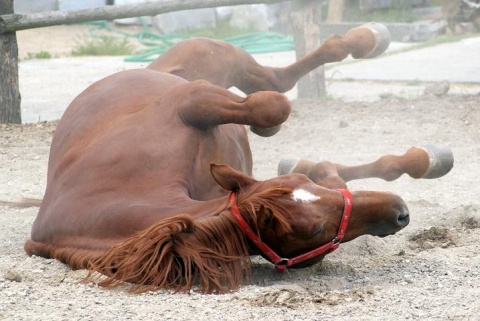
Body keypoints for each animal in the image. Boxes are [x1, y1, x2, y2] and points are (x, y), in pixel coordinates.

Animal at [18, 22, 454, 292]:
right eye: (315, 230)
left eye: (302, 189)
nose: (399, 211)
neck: (116, 190)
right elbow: (295, 134)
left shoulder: (189, 99)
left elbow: (272, 109)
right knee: (276, 83)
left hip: (217, 59)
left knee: (275, 83)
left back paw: (366, 40)